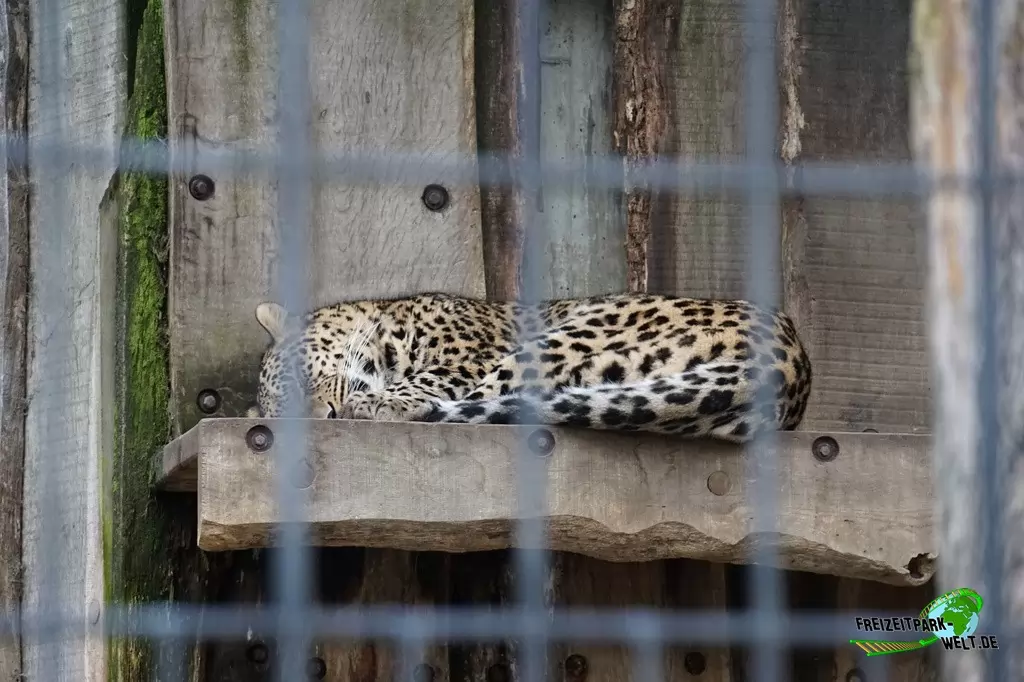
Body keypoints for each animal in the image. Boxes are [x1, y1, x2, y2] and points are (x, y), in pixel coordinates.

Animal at [247, 292, 812, 443]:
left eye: (307, 380)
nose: (322, 421)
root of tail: (791, 362)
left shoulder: (467, 351)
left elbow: (432, 378)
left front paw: (378, 399)